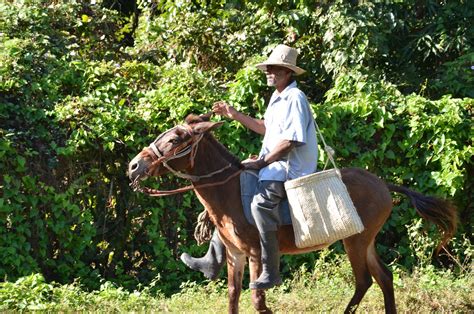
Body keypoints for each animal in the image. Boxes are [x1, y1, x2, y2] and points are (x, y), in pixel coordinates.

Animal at [128, 113, 458, 314]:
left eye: (174, 140)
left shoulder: (254, 253)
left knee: (364, 280)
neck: (228, 190)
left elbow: (258, 301)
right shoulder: (234, 254)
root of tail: (382, 184)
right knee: (384, 277)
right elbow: (233, 297)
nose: (134, 165)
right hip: (366, 240)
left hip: (355, 241)